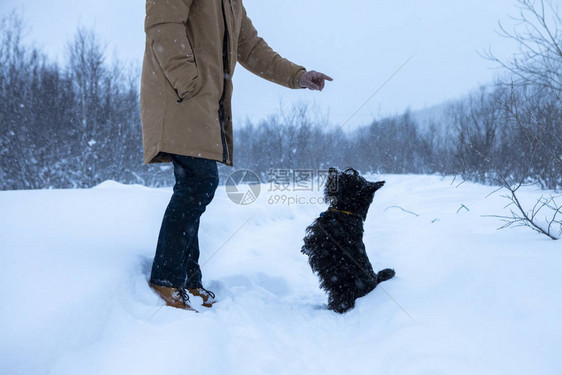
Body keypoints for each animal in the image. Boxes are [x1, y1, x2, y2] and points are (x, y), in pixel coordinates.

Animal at [302, 169, 394, 312]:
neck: (346, 212)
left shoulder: (324, 240)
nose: (331, 169)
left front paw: (306, 248)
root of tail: (375, 281)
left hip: (344, 291)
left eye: (349, 177)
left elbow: (313, 243)